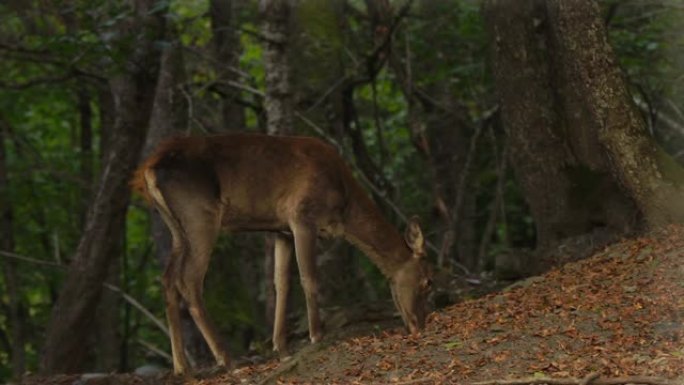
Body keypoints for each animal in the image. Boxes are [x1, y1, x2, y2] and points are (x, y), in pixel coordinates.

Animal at [132, 134, 432, 374]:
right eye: (426, 283)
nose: (420, 325)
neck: (345, 209)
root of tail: (148, 169)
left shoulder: (281, 230)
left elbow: (281, 283)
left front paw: (282, 348)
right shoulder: (301, 215)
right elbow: (309, 278)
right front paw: (316, 335)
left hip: (175, 227)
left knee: (168, 279)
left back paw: (181, 366)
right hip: (199, 215)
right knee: (189, 280)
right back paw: (227, 361)